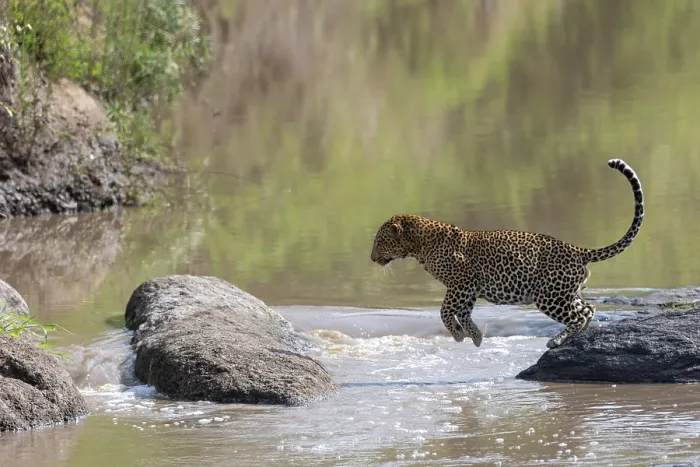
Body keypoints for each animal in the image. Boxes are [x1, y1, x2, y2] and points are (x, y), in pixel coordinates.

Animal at [370, 159, 644, 349]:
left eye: (380, 241)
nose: (372, 258)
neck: (419, 244)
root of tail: (578, 250)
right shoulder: (468, 290)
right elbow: (463, 314)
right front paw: (475, 336)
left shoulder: (461, 284)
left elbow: (445, 311)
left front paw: (459, 335)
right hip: (566, 291)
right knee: (588, 310)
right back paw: (571, 338)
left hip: (549, 296)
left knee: (578, 316)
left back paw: (556, 341)